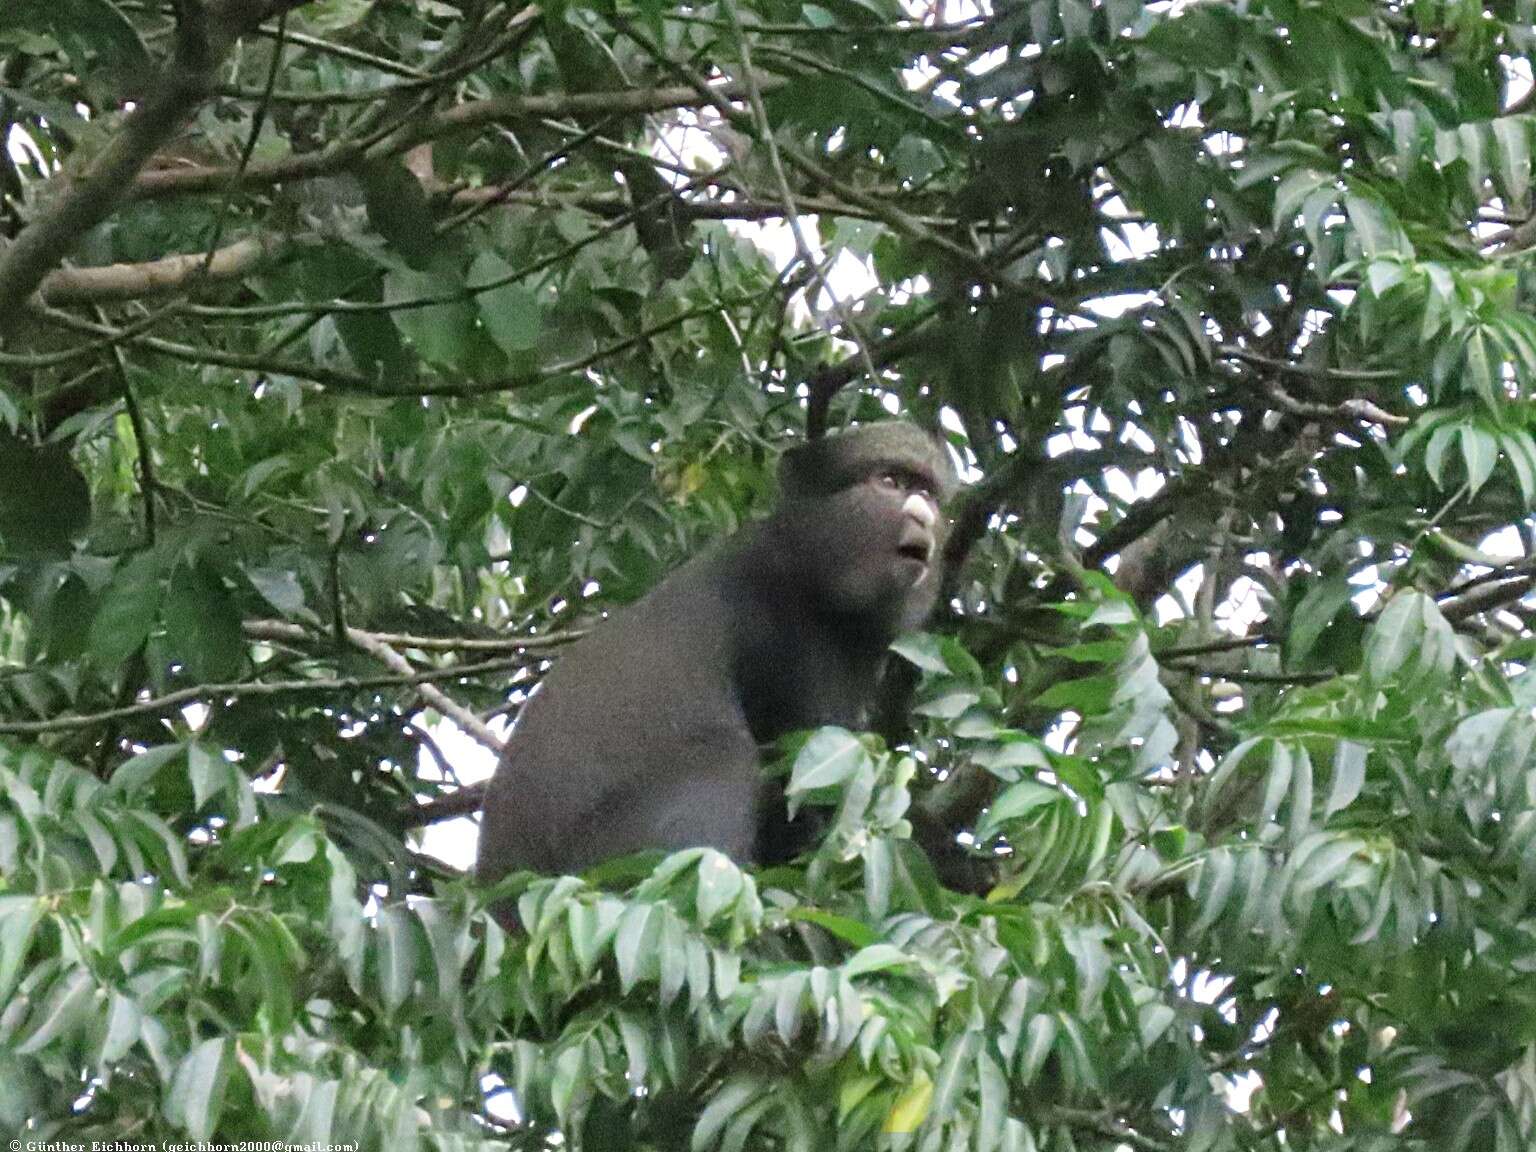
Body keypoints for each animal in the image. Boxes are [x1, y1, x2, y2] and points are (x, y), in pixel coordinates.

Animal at [476, 430, 958, 890]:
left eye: (927, 493)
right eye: (890, 482)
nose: (923, 516)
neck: (804, 557)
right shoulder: (790, 632)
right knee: (725, 755)